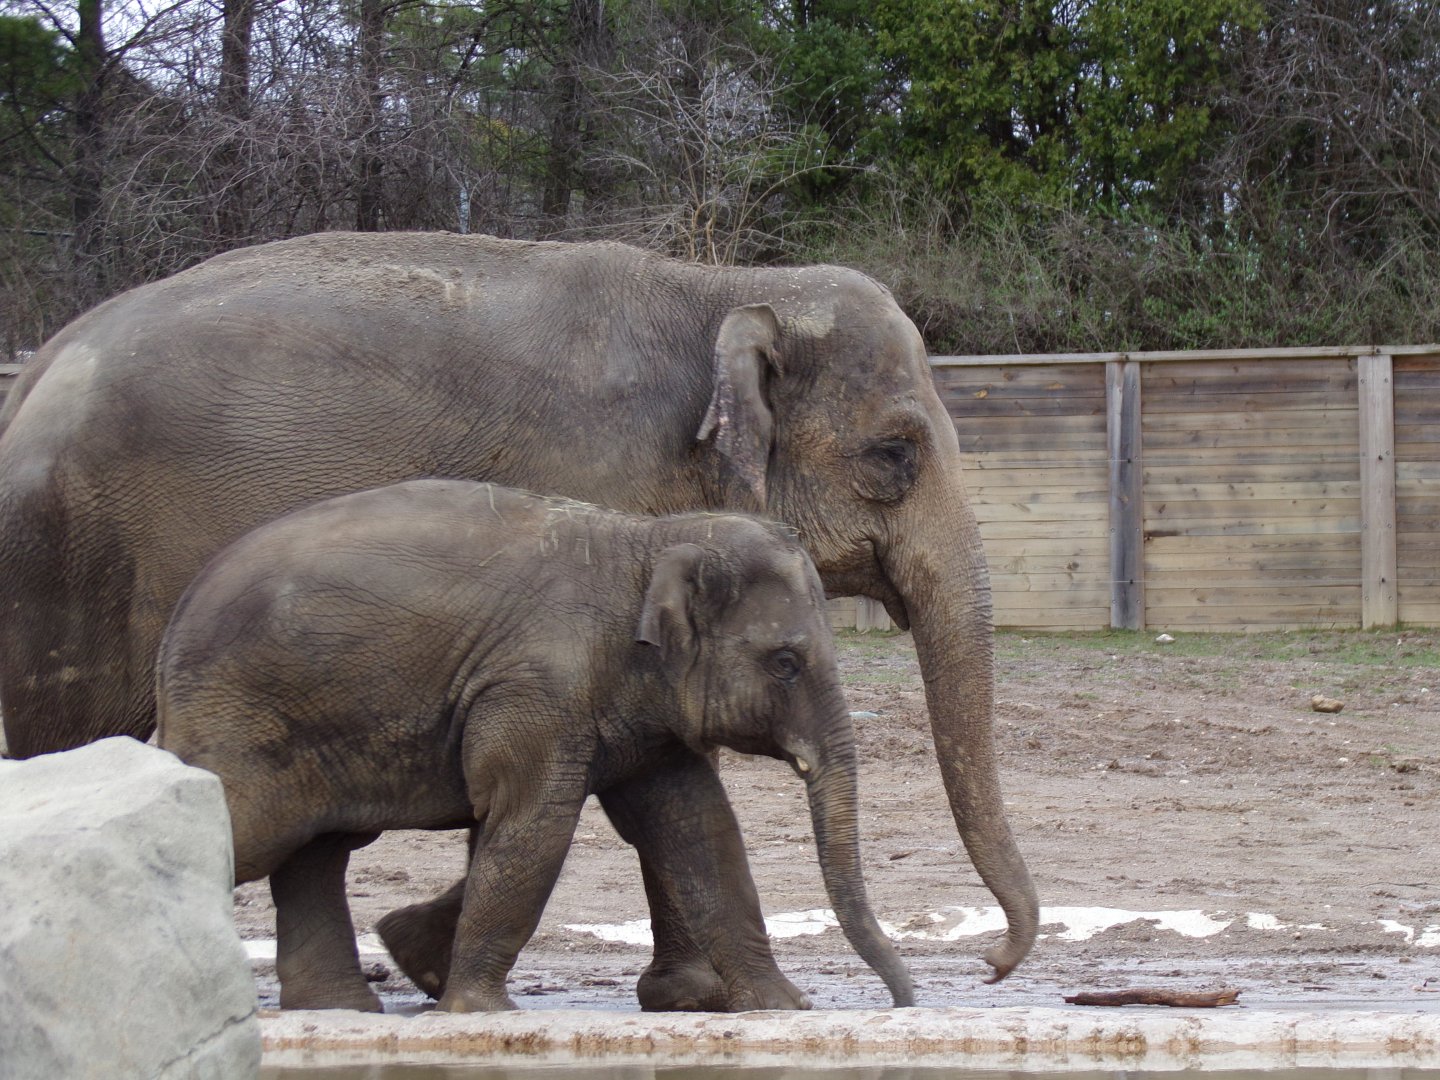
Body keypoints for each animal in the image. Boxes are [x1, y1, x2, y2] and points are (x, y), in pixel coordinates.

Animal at [155, 479, 914, 1013]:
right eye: (785, 663)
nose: (903, 1002)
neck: (647, 542)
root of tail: (178, 618)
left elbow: (699, 828)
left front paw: (783, 1009)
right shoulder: (536, 688)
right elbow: (535, 824)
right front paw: (476, 1014)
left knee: (317, 852)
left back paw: (342, 1009)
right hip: (246, 719)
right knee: (257, 832)